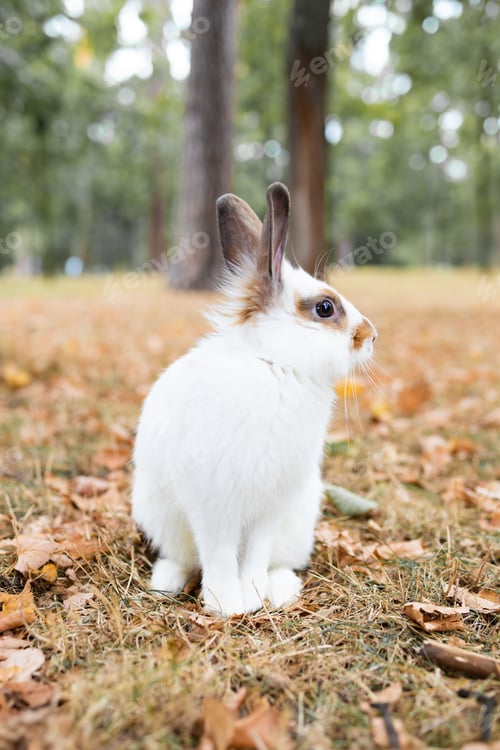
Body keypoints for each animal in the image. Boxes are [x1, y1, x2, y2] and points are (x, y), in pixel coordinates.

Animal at [132, 182, 377, 617]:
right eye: (325, 307)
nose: (372, 336)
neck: (275, 364)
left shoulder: (271, 506)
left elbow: (255, 555)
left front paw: (254, 594)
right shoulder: (214, 504)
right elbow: (218, 555)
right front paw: (227, 606)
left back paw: (280, 589)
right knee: (185, 558)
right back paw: (167, 581)